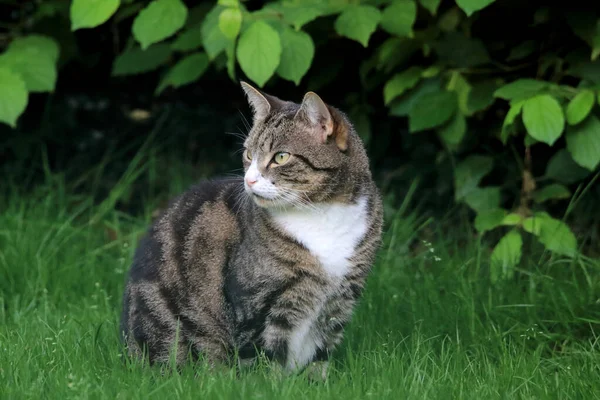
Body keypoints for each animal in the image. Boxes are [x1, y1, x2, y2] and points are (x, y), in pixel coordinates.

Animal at [120, 82, 384, 378]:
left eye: (281, 156)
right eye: (248, 154)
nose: (249, 180)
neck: (322, 213)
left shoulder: (342, 299)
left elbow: (320, 358)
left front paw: (316, 383)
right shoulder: (258, 302)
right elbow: (263, 359)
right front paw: (267, 383)